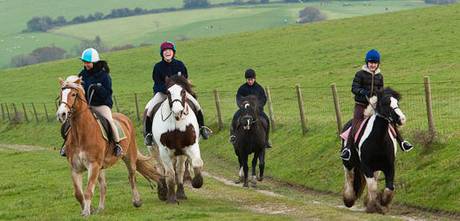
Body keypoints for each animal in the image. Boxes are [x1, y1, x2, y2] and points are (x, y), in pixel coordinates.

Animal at [56, 75, 166, 216]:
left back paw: (137, 201)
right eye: (61, 94)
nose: (61, 114)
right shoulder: (76, 168)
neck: (81, 134)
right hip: (101, 167)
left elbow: (88, 191)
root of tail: (125, 118)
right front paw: (89, 209)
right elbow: (78, 194)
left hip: (129, 157)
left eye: (73, 94)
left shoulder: (93, 165)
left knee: (132, 177)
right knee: (103, 186)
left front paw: (86, 212)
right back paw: (100, 208)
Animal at [151, 75, 203, 204]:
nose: (178, 110)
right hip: (154, 150)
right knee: (160, 168)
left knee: (179, 170)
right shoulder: (164, 150)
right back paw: (163, 192)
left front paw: (196, 182)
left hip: (180, 153)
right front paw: (171, 198)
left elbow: (196, 163)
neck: (176, 121)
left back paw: (181, 193)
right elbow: (169, 173)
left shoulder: (191, 145)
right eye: (168, 92)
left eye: (183, 91)